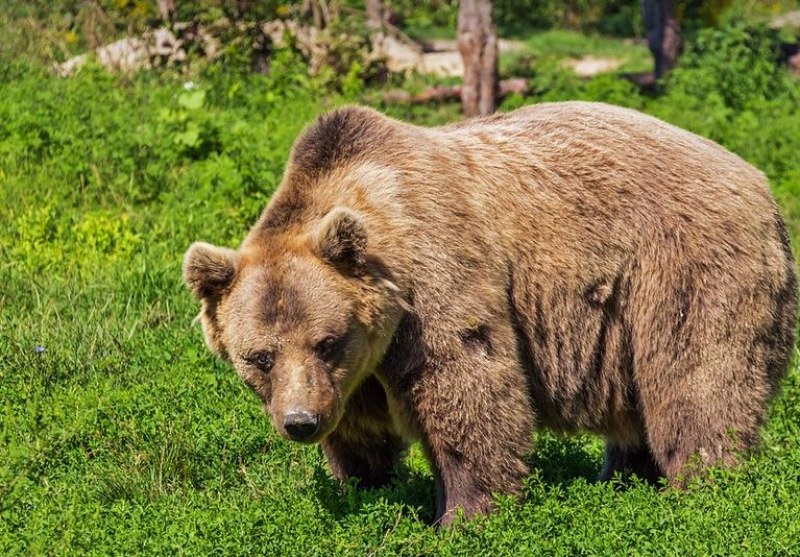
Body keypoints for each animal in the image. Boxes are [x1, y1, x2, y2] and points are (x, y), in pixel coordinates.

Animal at [183, 102, 800, 524]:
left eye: (326, 340)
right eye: (259, 357)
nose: (300, 422)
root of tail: (760, 182)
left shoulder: (435, 279)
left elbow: (468, 388)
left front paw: (463, 515)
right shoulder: (356, 370)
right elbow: (360, 430)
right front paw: (366, 487)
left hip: (683, 269)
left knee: (697, 382)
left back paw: (703, 488)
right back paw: (624, 480)